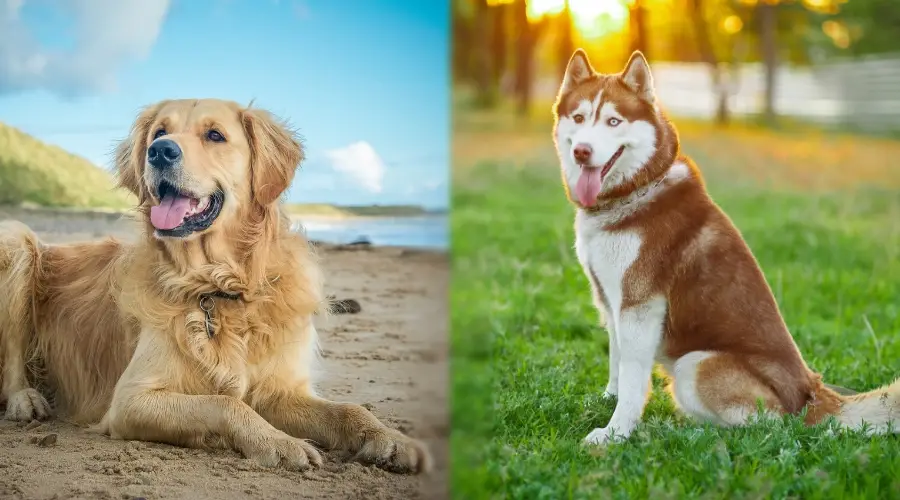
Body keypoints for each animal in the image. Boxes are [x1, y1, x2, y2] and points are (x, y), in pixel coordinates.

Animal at [0, 97, 432, 472]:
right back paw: (25, 400)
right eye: (160, 131)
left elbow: (349, 409)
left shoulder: (280, 391)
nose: (159, 151)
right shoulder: (130, 399)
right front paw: (280, 443)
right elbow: (224, 404)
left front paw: (388, 438)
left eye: (215, 135)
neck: (219, 286)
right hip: (16, 239)